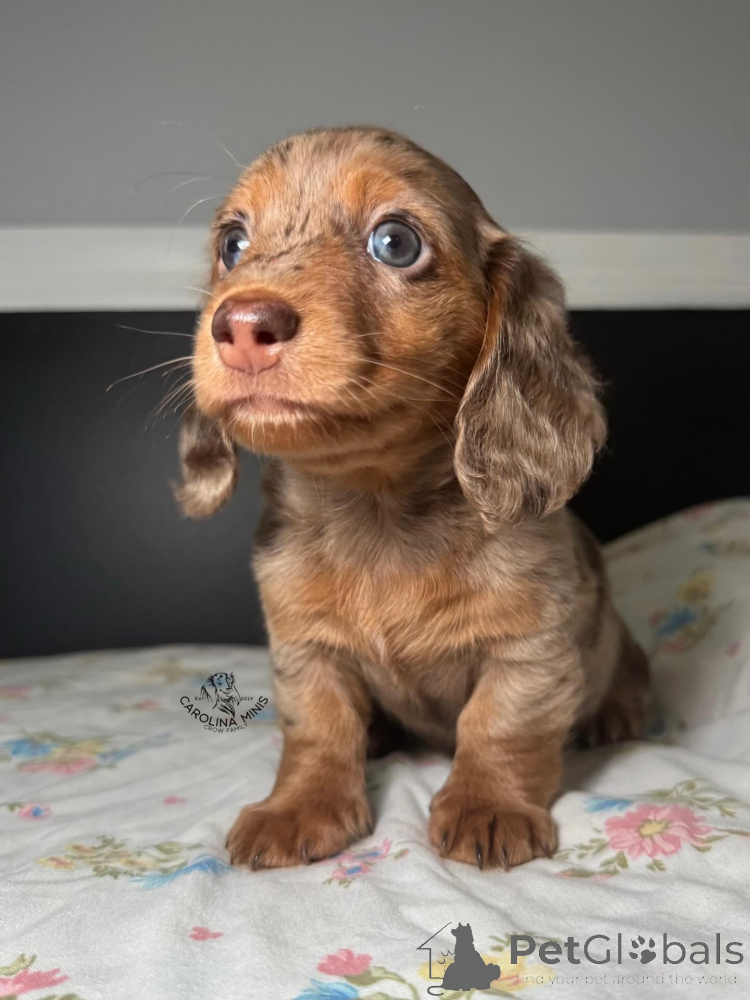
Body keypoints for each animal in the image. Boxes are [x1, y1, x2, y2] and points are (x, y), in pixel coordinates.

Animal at [174, 126, 649, 871]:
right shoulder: (304, 647)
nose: (243, 322)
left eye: (395, 242)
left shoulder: (532, 649)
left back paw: (620, 712)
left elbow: (500, 723)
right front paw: (298, 805)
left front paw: (488, 805)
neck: (379, 511)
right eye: (232, 243)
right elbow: (318, 727)